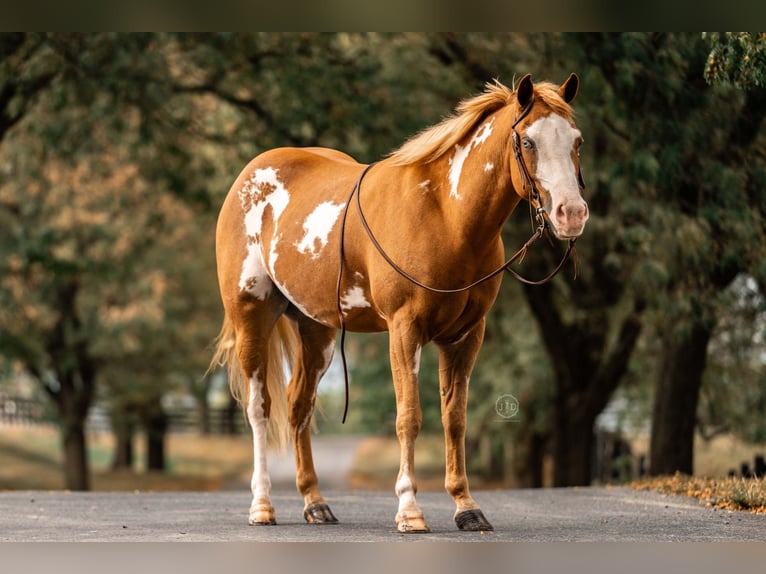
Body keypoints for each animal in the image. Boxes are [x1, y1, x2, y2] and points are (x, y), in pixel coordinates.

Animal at [210, 73, 588, 533]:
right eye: (529, 142)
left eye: (576, 141)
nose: (572, 214)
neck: (445, 216)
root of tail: (249, 176)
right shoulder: (404, 330)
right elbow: (409, 416)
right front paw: (410, 510)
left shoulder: (465, 335)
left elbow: (454, 419)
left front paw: (466, 506)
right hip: (253, 317)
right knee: (260, 407)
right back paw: (262, 505)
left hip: (317, 330)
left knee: (299, 404)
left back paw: (315, 503)